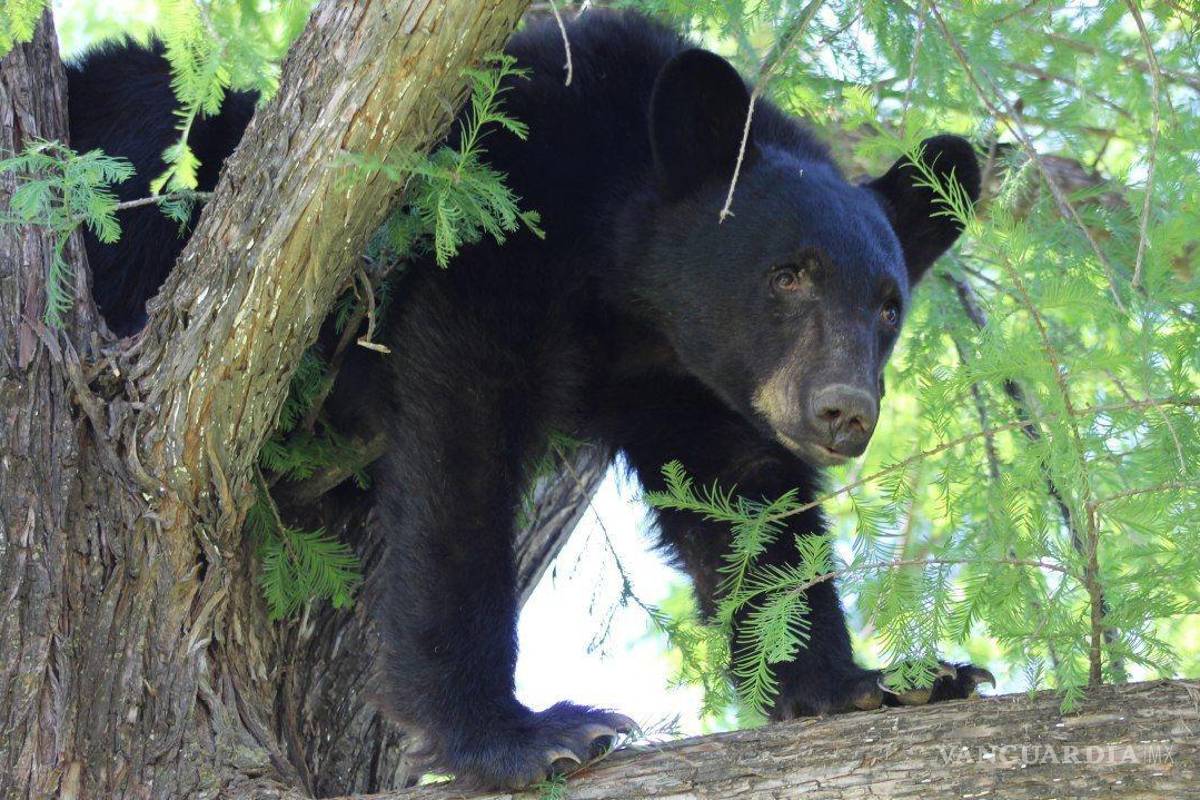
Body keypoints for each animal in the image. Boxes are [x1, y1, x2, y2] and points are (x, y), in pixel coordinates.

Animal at [69, 9, 990, 790]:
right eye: (788, 273)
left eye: (887, 306)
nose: (845, 411)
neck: (632, 301)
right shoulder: (496, 221)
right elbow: (461, 452)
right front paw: (521, 735)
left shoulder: (691, 381)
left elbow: (748, 505)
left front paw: (875, 680)